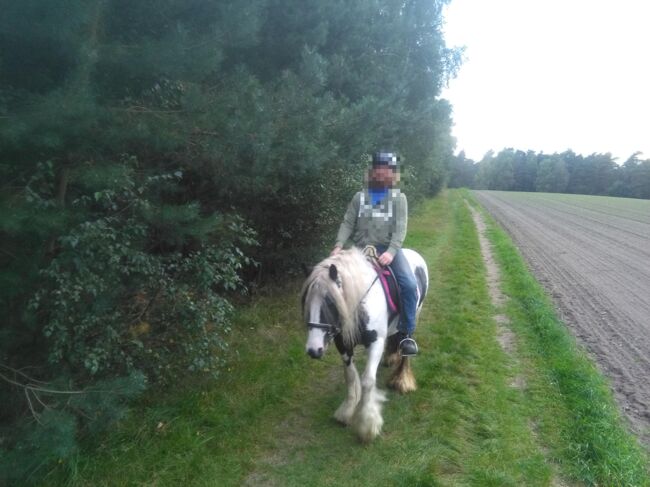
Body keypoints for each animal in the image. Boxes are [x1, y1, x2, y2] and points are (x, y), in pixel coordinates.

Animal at [302, 248, 428, 442]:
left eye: (331, 302)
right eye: (307, 302)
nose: (313, 350)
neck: (361, 304)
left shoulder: (376, 343)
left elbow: (368, 380)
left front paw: (367, 426)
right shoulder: (344, 344)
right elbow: (350, 376)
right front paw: (346, 412)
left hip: (415, 314)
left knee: (406, 344)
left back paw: (401, 380)